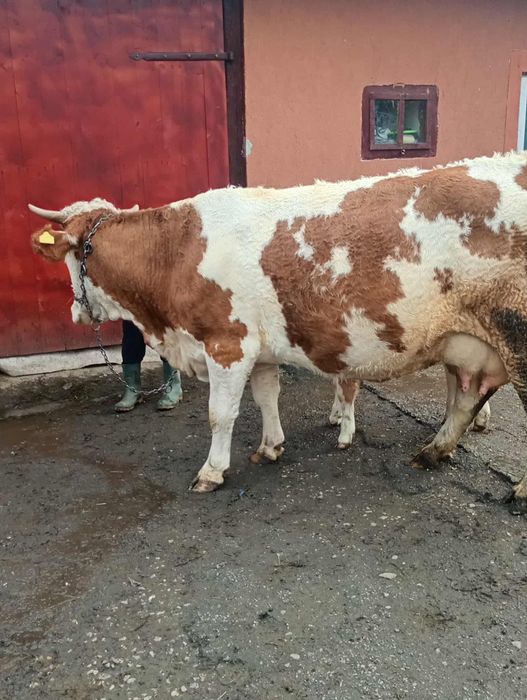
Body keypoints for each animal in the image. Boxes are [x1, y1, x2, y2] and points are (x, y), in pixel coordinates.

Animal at [29, 152, 527, 508]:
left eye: (72, 257)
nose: (75, 313)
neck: (176, 252)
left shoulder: (226, 342)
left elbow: (220, 413)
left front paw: (212, 471)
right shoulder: (260, 347)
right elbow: (267, 396)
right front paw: (271, 447)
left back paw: (517, 490)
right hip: (468, 341)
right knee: (465, 397)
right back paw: (431, 452)